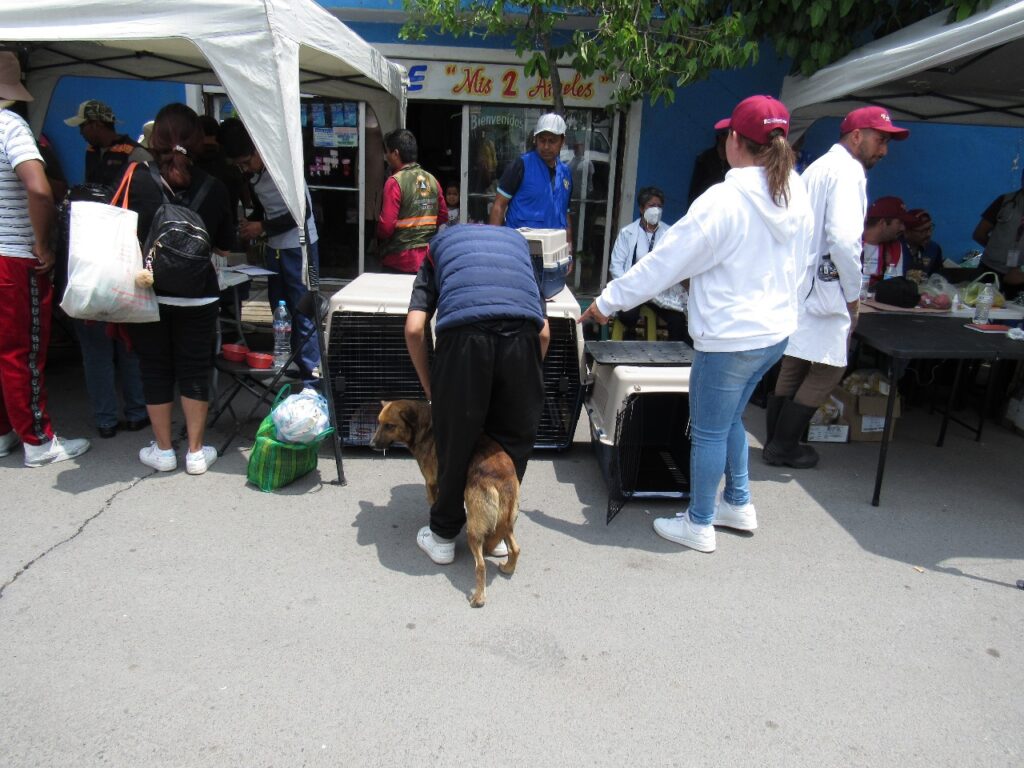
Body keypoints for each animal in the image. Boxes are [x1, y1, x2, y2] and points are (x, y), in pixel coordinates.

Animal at [370, 403, 520, 606]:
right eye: (379, 422)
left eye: (390, 425)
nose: (371, 445)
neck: (425, 427)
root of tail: (502, 481)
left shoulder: (432, 483)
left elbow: (433, 504)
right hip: (508, 521)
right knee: (516, 548)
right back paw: (508, 568)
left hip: (474, 529)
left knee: (481, 566)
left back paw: (479, 598)